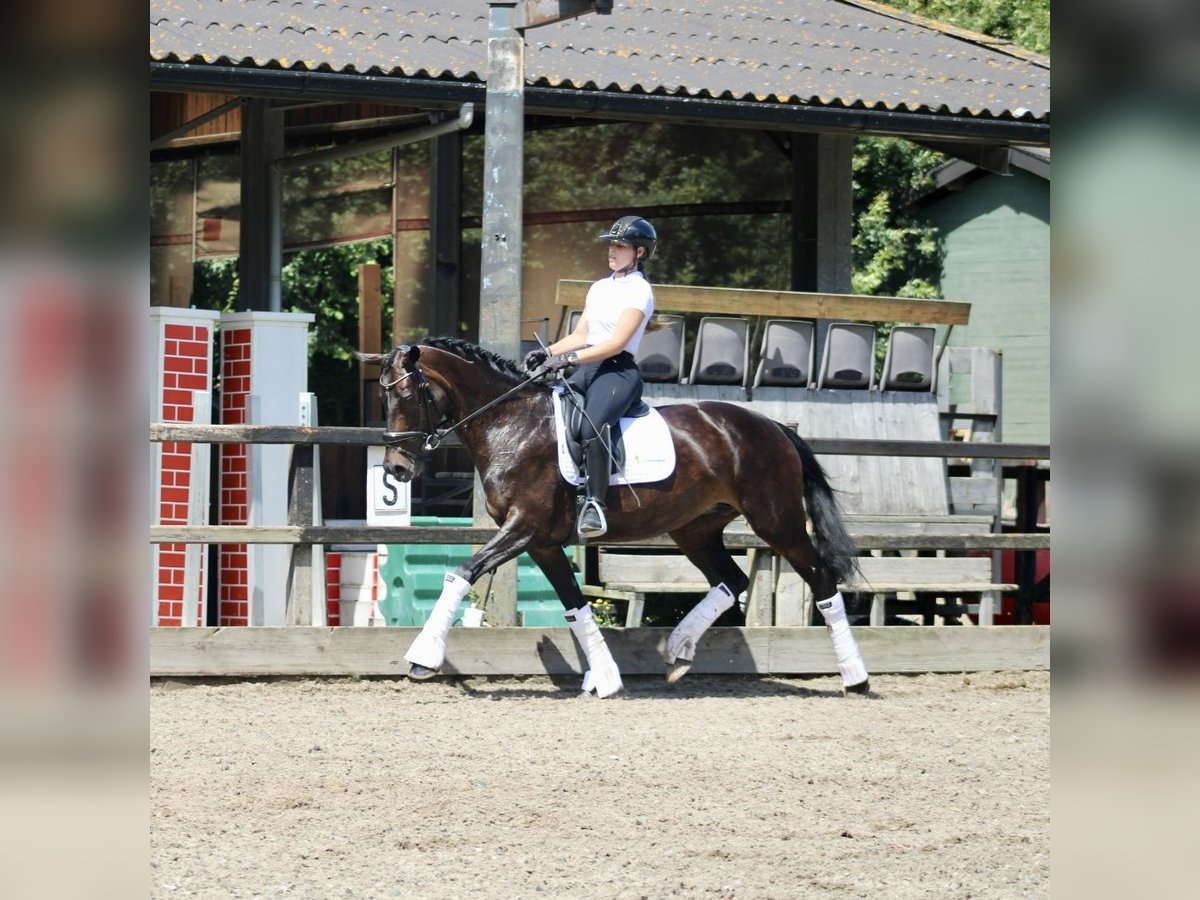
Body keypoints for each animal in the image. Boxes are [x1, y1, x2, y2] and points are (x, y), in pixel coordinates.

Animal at [350, 338, 868, 696]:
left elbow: (462, 572)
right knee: (732, 580)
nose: (397, 470)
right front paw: (606, 677)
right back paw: (679, 650)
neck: (511, 424)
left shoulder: (524, 527)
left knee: (822, 581)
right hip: (695, 529)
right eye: (382, 399)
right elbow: (574, 604)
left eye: (408, 396)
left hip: (777, 523)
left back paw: (855, 677)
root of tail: (774, 426)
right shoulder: (541, 542)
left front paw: (422, 658)